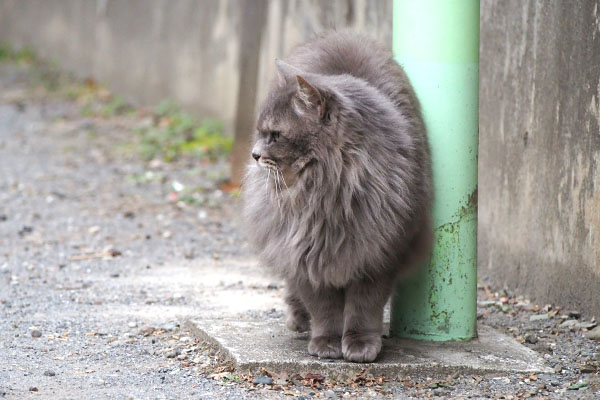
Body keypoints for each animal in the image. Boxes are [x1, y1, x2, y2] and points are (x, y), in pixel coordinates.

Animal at [243, 31, 432, 362]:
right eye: (261, 133)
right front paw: (327, 343)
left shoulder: (378, 251)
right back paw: (299, 320)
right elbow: (324, 308)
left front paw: (360, 345)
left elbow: (364, 307)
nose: (255, 154)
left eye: (276, 135)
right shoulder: (304, 255)